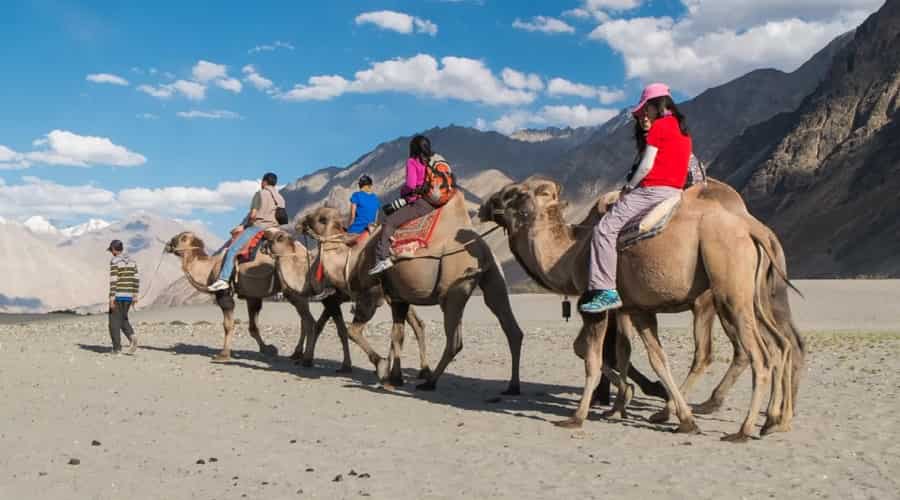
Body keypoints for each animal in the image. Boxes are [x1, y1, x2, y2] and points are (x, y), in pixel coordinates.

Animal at [264, 229, 432, 376]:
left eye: (277, 237)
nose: (265, 236)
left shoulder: (330, 299)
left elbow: (340, 330)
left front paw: (344, 365)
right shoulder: (331, 300)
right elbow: (320, 326)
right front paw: (308, 359)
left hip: (375, 296)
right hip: (399, 295)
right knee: (417, 324)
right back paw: (422, 371)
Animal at [302, 192, 524, 394]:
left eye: (321, 219)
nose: (302, 221)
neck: (350, 261)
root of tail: (481, 248)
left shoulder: (370, 295)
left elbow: (352, 331)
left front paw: (382, 368)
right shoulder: (398, 298)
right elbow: (397, 335)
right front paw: (395, 377)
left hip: (452, 288)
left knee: (454, 341)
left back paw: (430, 382)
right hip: (494, 278)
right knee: (511, 328)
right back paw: (512, 386)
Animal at [478, 177, 796, 442]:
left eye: (515, 193)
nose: (485, 205)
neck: (570, 254)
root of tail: (753, 231)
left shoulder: (595, 306)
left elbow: (590, 356)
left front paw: (578, 416)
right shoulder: (637, 308)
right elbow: (649, 357)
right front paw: (680, 418)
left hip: (727, 294)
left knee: (753, 355)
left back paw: (743, 429)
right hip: (753, 297)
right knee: (780, 344)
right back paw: (772, 421)